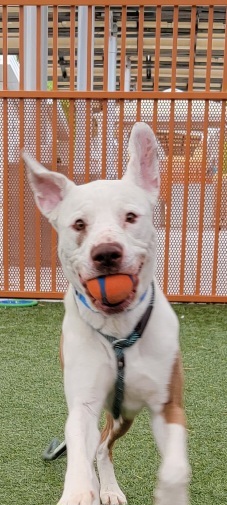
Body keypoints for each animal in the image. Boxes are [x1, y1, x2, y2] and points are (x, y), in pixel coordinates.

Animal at [22, 123, 190, 504]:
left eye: (130, 217)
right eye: (79, 224)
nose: (107, 253)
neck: (120, 332)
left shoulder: (168, 404)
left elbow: (176, 468)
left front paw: (170, 491)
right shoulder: (83, 405)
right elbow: (79, 459)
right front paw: (79, 492)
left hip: (124, 414)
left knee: (104, 446)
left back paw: (110, 488)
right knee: (98, 446)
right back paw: (105, 488)